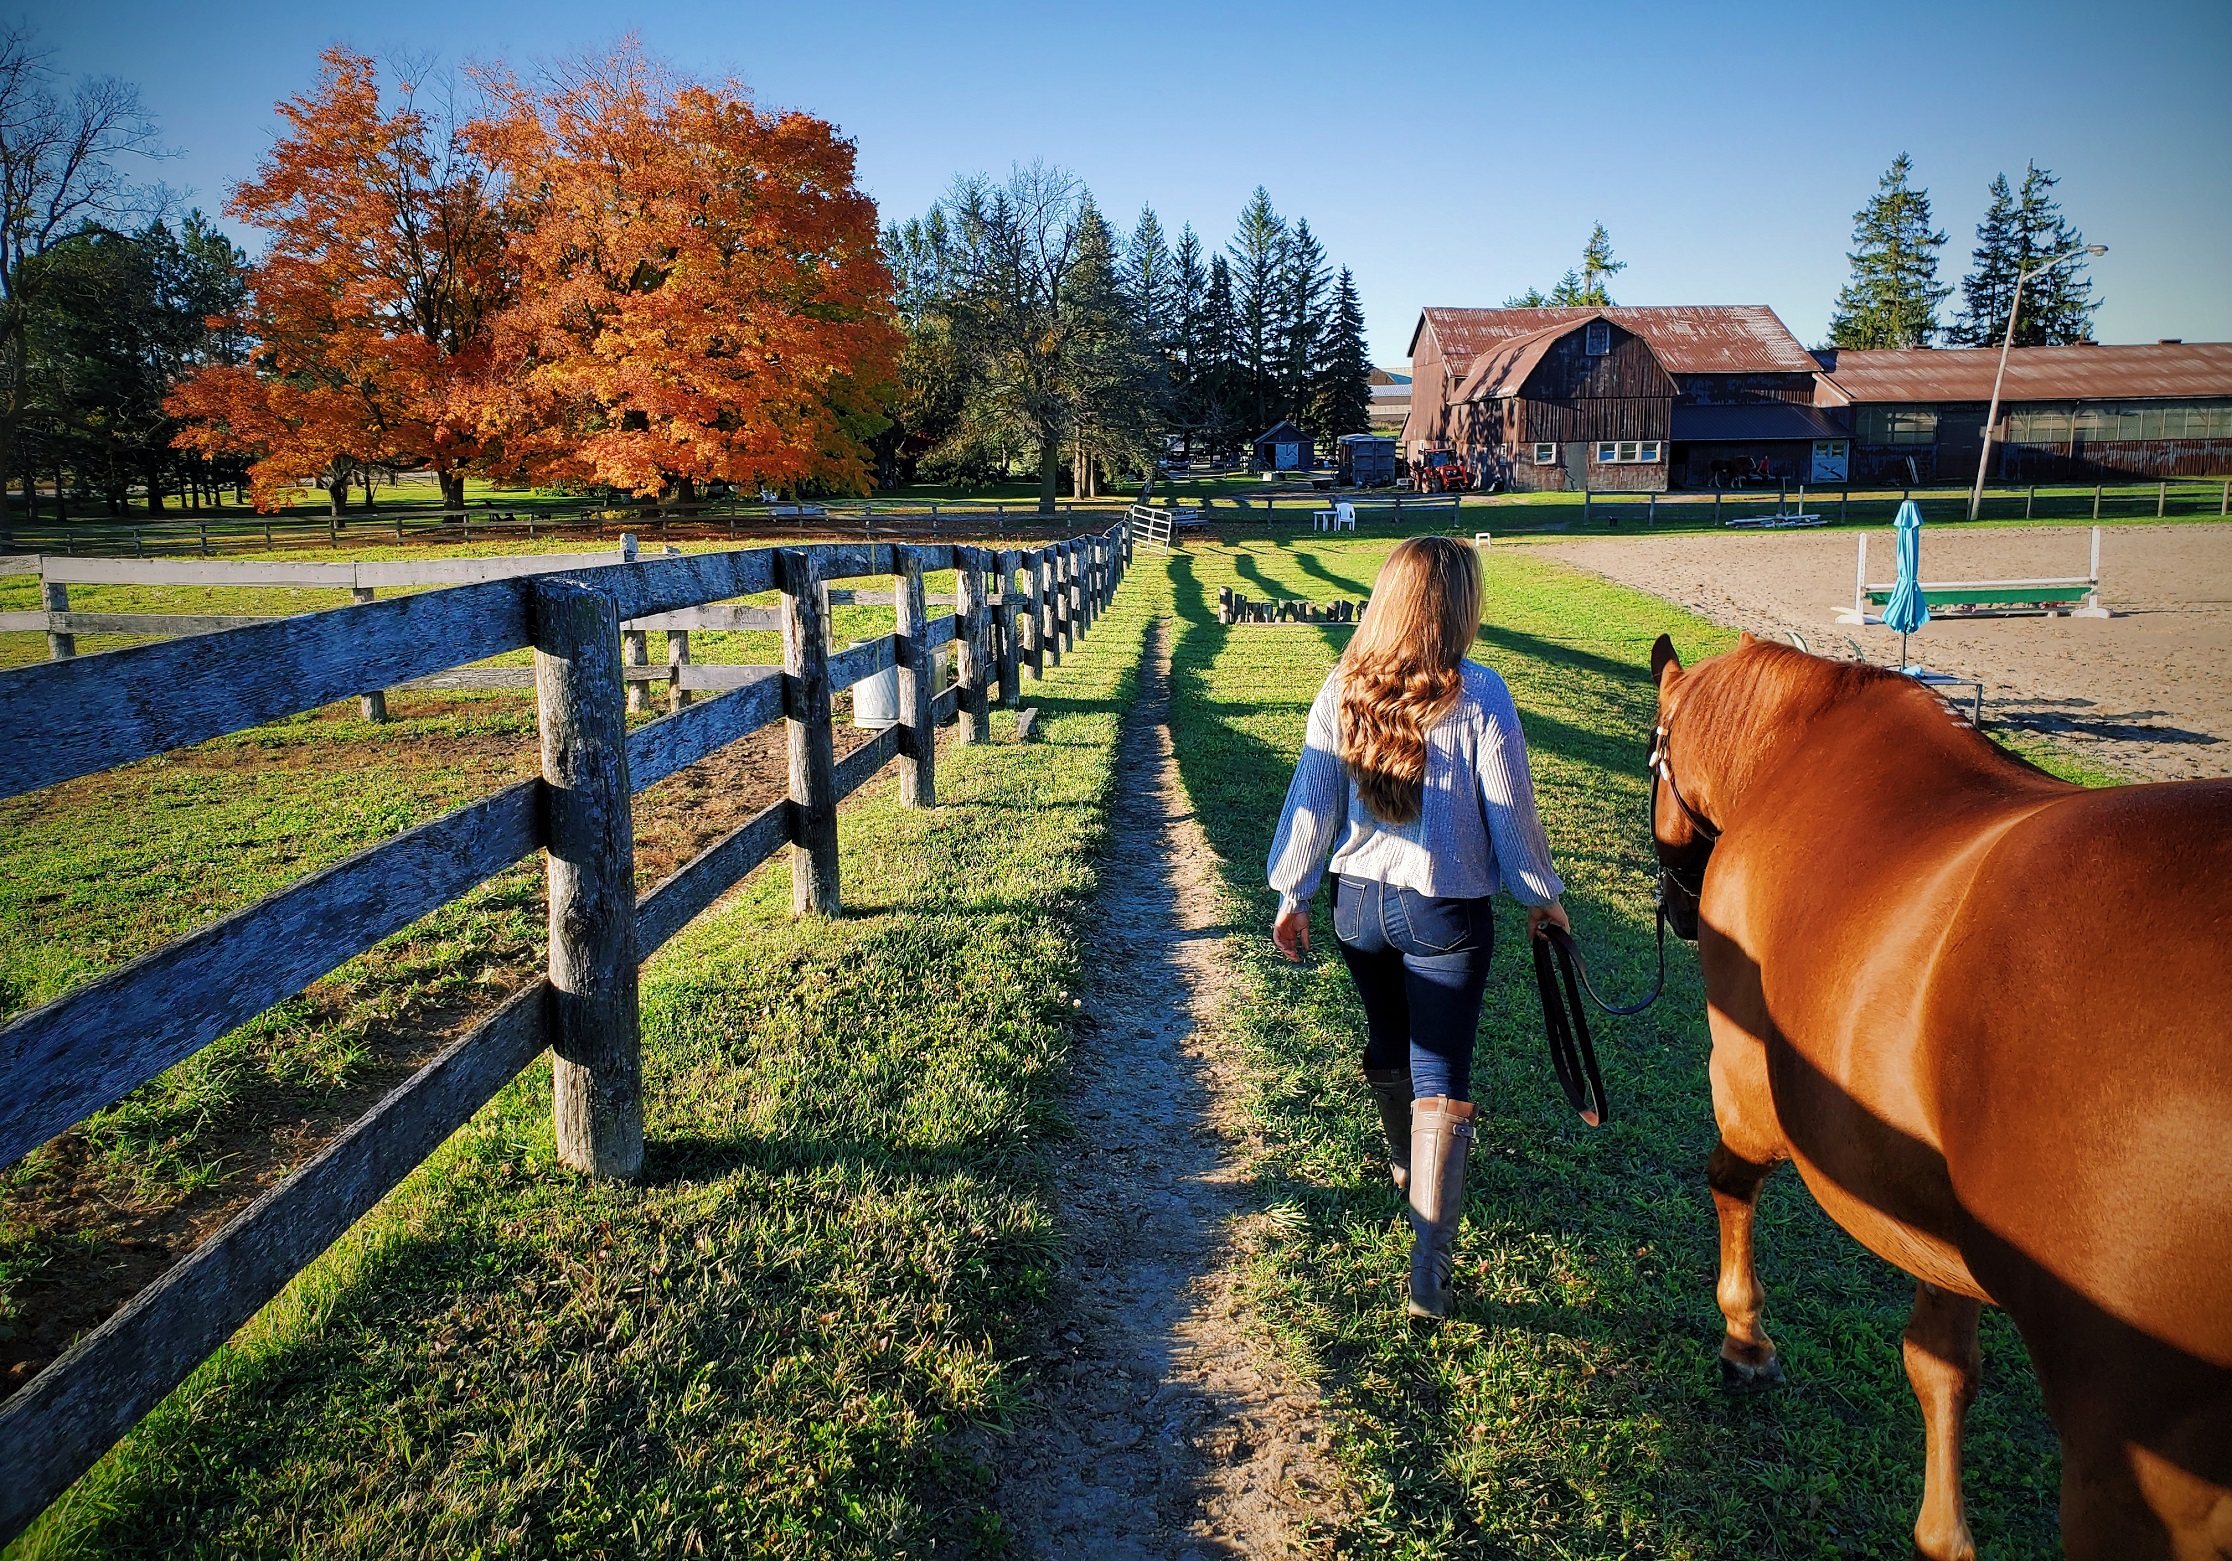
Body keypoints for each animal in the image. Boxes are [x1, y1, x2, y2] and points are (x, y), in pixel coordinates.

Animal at [1642, 634, 2232, 1561]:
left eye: (1652, 760)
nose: (1679, 907)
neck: (1797, 746)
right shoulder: (1941, 1211)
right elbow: (1940, 1364)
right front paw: (1943, 1535)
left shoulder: (1745, 1078)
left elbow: (1730, 1182)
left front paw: (1743, 1337)